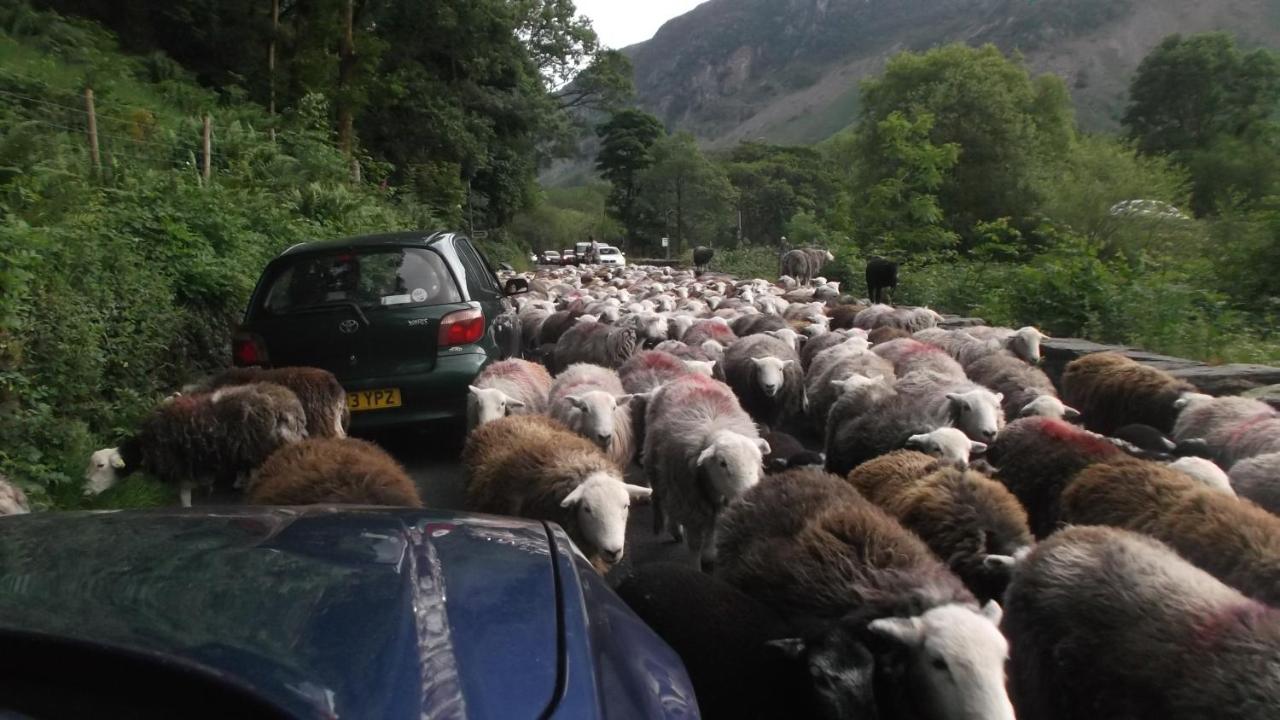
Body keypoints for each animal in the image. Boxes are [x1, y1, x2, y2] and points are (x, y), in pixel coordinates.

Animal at [84, 383, 308, 507]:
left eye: (100, 466)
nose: (85, 493)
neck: (144, 448)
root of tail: (291, 406)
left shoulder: (181, 469)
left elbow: (185, 499)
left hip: (262, 450)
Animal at [643, 373, 767, 569]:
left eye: (758, 460)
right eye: (722, 463)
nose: (751, 497)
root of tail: (688, 375)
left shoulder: (717, 506)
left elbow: (712, 531)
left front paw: (710, 554)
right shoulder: (689, 502)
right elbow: (695, 544)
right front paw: (695, 567)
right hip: (662, 473)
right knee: (664, 499)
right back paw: (674, 529)